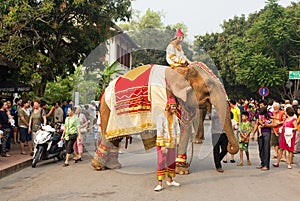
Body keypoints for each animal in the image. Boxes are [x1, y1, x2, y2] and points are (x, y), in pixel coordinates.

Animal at [91, 62, 239, 171]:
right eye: (208, 88)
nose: (229, 147)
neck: (182, 69)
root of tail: (103, 91)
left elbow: (184, 127)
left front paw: (180, 169)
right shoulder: (164, 97)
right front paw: (176, 169)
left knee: (116, 137)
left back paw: (113, 166)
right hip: (107, 108)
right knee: (109, 136)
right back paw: (98, 167)